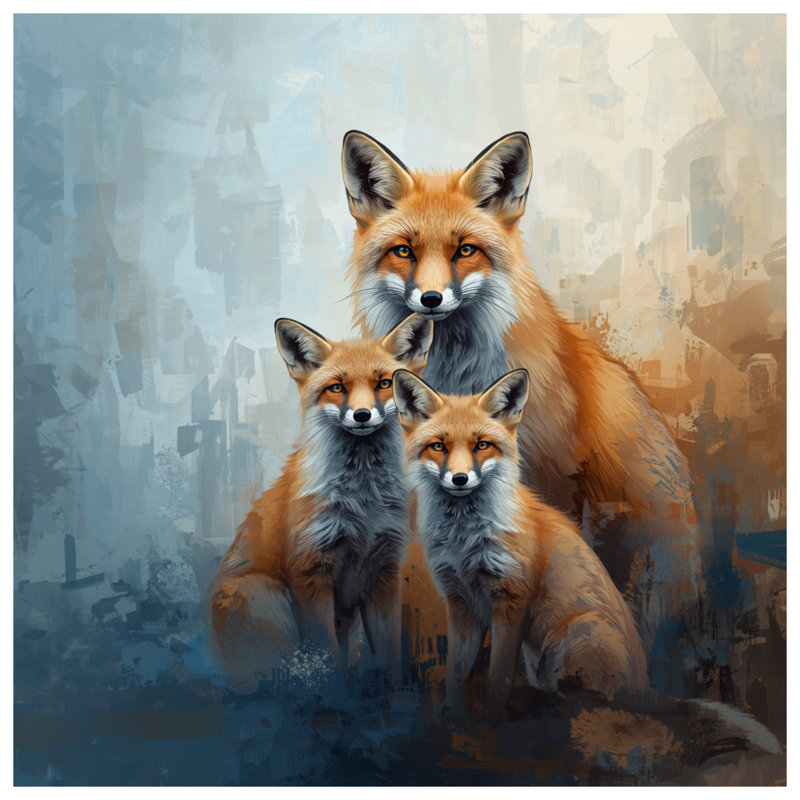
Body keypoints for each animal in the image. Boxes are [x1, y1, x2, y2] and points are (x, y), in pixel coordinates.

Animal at [206, 312, 433, 689]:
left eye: (384, 383)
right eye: (337, 388)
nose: (362, 415)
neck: (363, 503)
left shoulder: (384, 571)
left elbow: (389, 655)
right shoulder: (311, 571)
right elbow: (327, 660)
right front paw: (336, 696)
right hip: (262, 595)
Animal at [392, 367, 648, 721]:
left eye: (482, 445)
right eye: (438, 446)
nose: (460, 479)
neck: (464, 541)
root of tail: (644, 687)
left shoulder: (511, 600)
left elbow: (498, 681)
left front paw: (491, 721)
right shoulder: (460, 603)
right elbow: (456, 675)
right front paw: (455, 718)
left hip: (575, 637)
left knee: (590, 702)